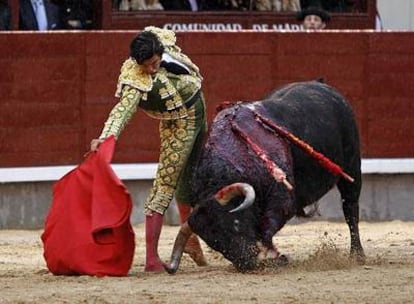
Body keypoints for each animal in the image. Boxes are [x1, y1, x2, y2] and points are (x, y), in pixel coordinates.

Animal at [163, 79, 364, 272]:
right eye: (214, 243)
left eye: (236, 223)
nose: (248, 262)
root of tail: (322, 85)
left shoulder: (282, 200)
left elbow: (268, 226)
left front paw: (273, 256)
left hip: (352, 168)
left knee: (350, 209)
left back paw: (357, 254)